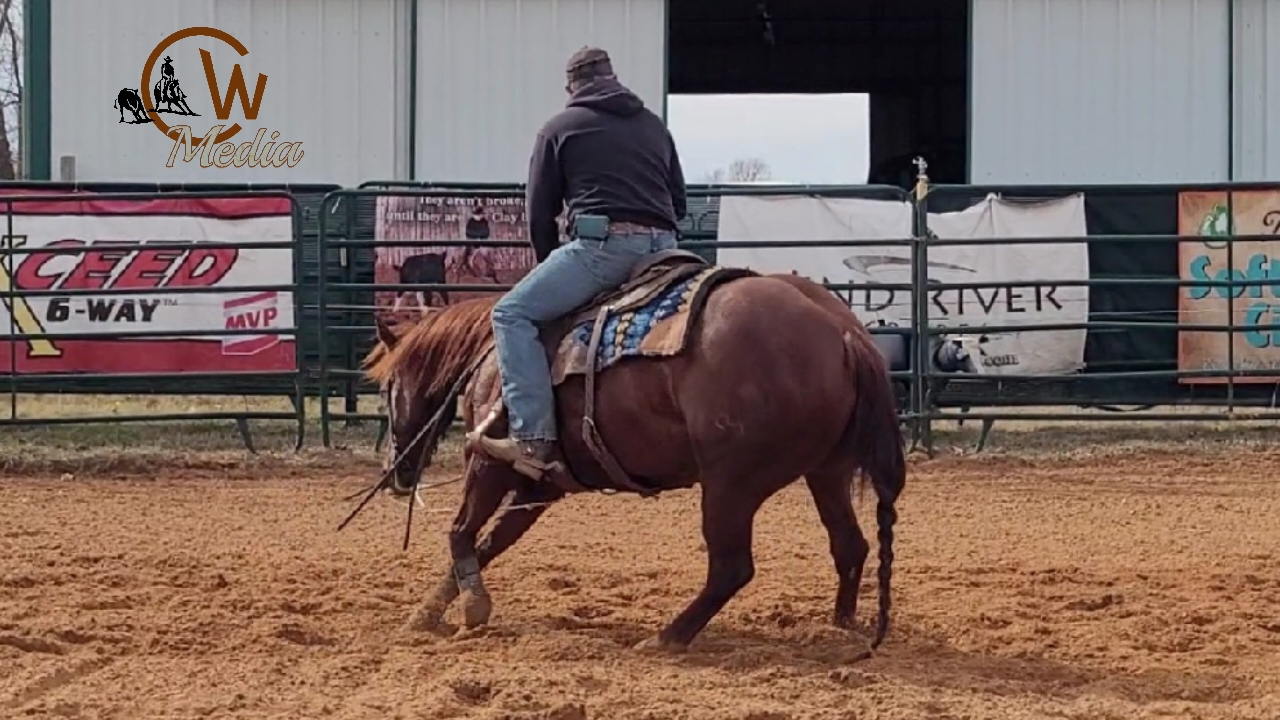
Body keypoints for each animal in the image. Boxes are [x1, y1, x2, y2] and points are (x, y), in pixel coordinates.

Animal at [361, 252, 906, 652]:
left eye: (387, 388)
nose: (394, 474)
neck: (491, 355)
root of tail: (842, 332)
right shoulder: (541, 485)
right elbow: (490, 542)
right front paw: (428, 612)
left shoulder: (490, 462)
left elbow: (461, 532)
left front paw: (470, 607)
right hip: (826, 471)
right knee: (850, 545)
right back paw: (839, 627)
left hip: (731, 484)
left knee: (732, 567)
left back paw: (667, 638)